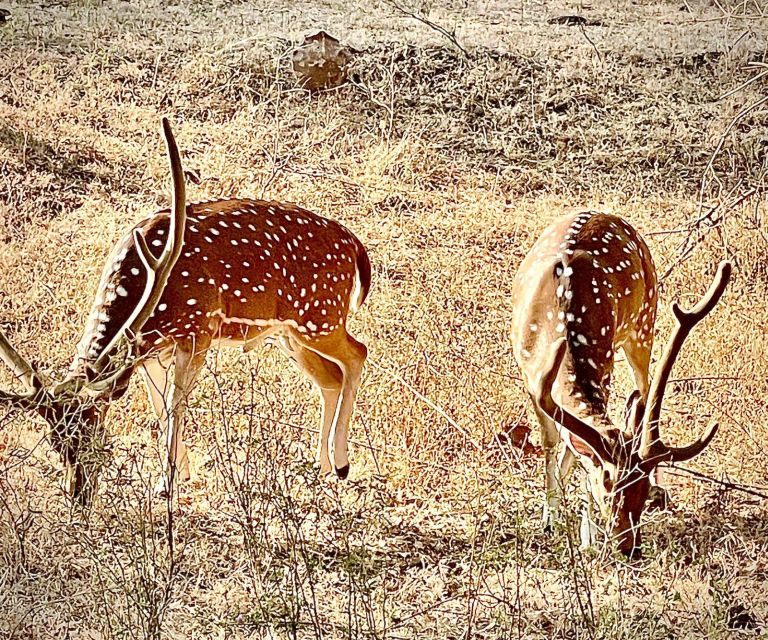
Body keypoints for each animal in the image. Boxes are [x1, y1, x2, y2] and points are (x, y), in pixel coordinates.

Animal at [0, 117, 372, 502]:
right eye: (56, 443)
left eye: (94, 435)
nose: (79, 495)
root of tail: (355, 246)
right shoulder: (147, 350)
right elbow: (158, 404)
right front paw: (182, 472)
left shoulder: (199, 330)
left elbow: (174, 402)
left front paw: (167, 483)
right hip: (290, 334)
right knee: (331, 378)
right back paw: (322, 467)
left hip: (320, 316)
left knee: (357, 353)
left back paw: (342, 463)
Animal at [512, 211, 728, 556]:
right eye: (608, 485)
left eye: (640, 488)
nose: (629, 546)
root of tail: (603, 213)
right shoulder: (530, 377)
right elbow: (554, 442)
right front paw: (551, 519)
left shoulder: (603, 368)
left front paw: (586, 535)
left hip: (644, 322)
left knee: (645, 390)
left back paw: (662, 489)